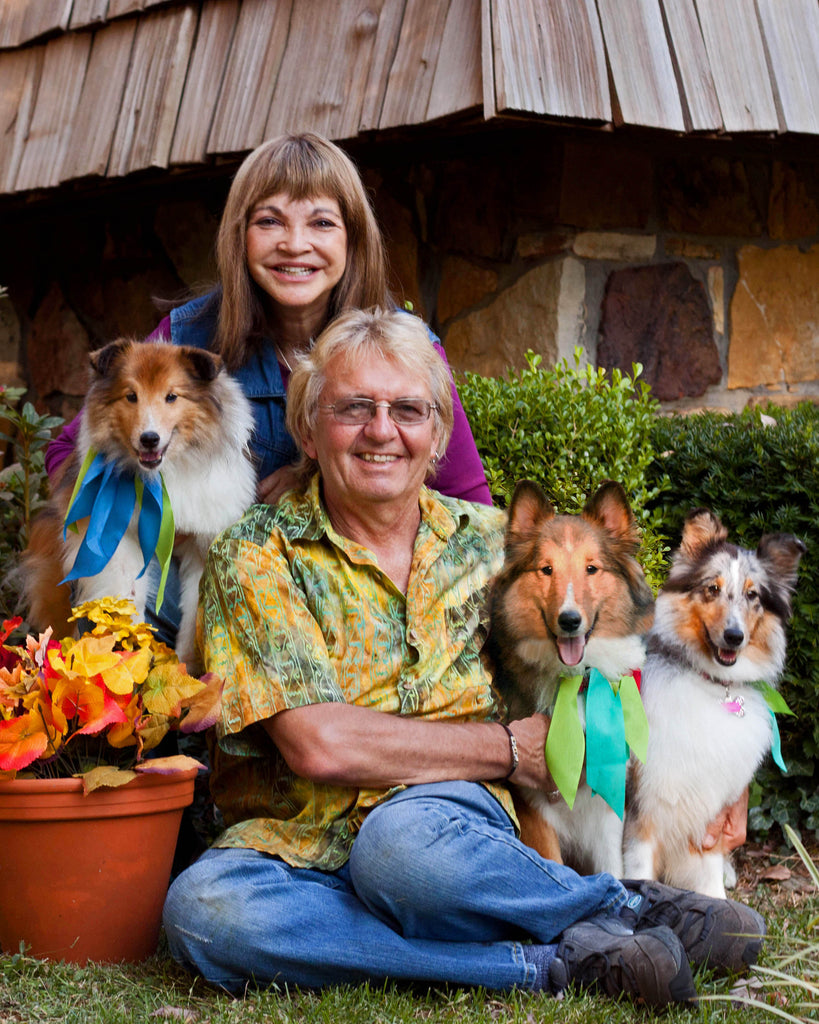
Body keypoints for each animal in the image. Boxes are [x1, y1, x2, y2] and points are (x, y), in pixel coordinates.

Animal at [22, 339, 255, 667]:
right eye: (131, 396)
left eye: (171, 396)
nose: (149, 439)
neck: (163, 474)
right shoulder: (118, 540)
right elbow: (128, 596)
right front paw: (131, 655)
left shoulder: (201, 545)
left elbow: (193, 612)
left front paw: (185, 666)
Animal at [489, 479, 655, 872]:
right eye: (546, 569)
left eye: (591, 569)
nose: (569, 620)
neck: (575, 681)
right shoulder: (532, 803)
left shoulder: (607, 792)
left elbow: (613, 869)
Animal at [622, 512, 802, 897]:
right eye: (713, 589)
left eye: (752, 595)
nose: (734, 637)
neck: (712, 684)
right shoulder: (644, 807)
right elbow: (640, 868)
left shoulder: (710, 812)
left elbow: (708, 873)